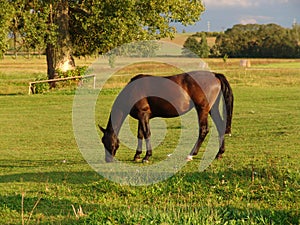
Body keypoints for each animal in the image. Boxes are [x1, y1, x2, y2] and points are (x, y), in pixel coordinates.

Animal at [99, 70, 233, 162]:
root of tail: (214, 75)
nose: (108, 160)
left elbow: (146, 134)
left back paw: (191, 154)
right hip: (212, 109)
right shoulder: (141, 117)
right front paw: (137, 155)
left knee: (203, 130)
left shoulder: (143, 115)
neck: (132, 91)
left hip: (202, 110)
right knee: (220, 126)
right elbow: (140, 134)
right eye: (102, 141)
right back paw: (219, 153)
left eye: (108, 142)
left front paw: (147, 157)